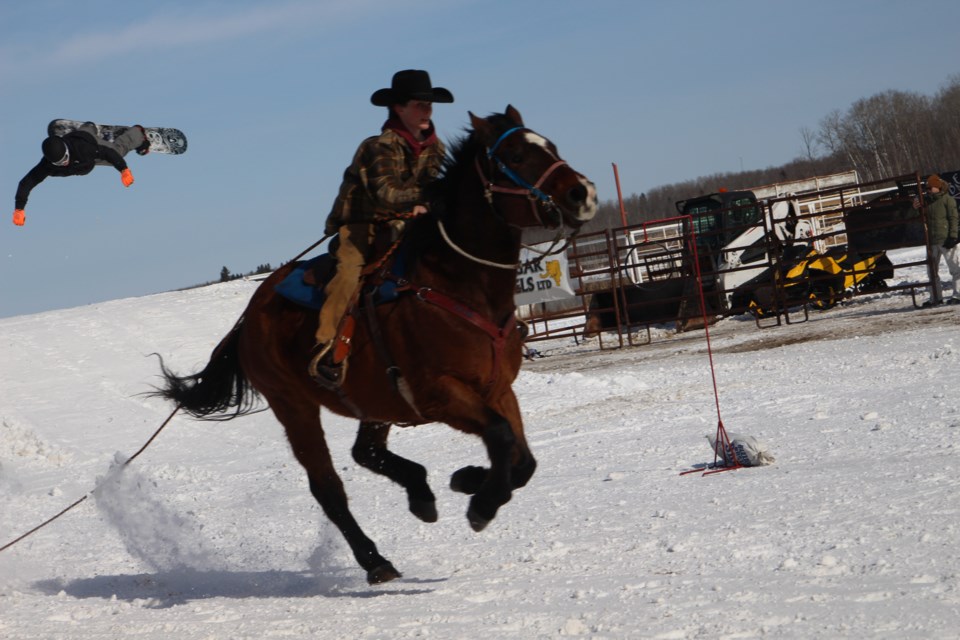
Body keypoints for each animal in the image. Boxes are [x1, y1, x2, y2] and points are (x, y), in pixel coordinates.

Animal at [154, 106, 596, 584]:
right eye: (513, 154)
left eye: (549, 145)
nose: (582, 193)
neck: (457, 283)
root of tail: (249, 316)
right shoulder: (440, 393)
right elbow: (500, 437)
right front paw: (479, 501)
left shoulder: (498, 389)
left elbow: (522, 459)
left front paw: (467, 479)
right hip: (294, 406)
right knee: (328, 488)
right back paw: (376, 559)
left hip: (373, 400)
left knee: (365, 451)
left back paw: (421, 494)